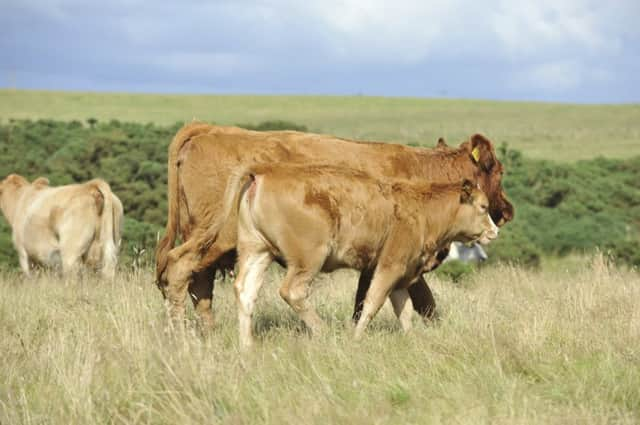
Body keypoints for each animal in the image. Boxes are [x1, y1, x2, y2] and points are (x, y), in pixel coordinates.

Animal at [156, 122, 516, 324]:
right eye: (498, 171)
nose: (506, 211)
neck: (422, 171)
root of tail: (208, 129)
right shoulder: (394, 259)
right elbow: (399, 302)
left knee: (199, 286)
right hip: (214, 238)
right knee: (180, 269)